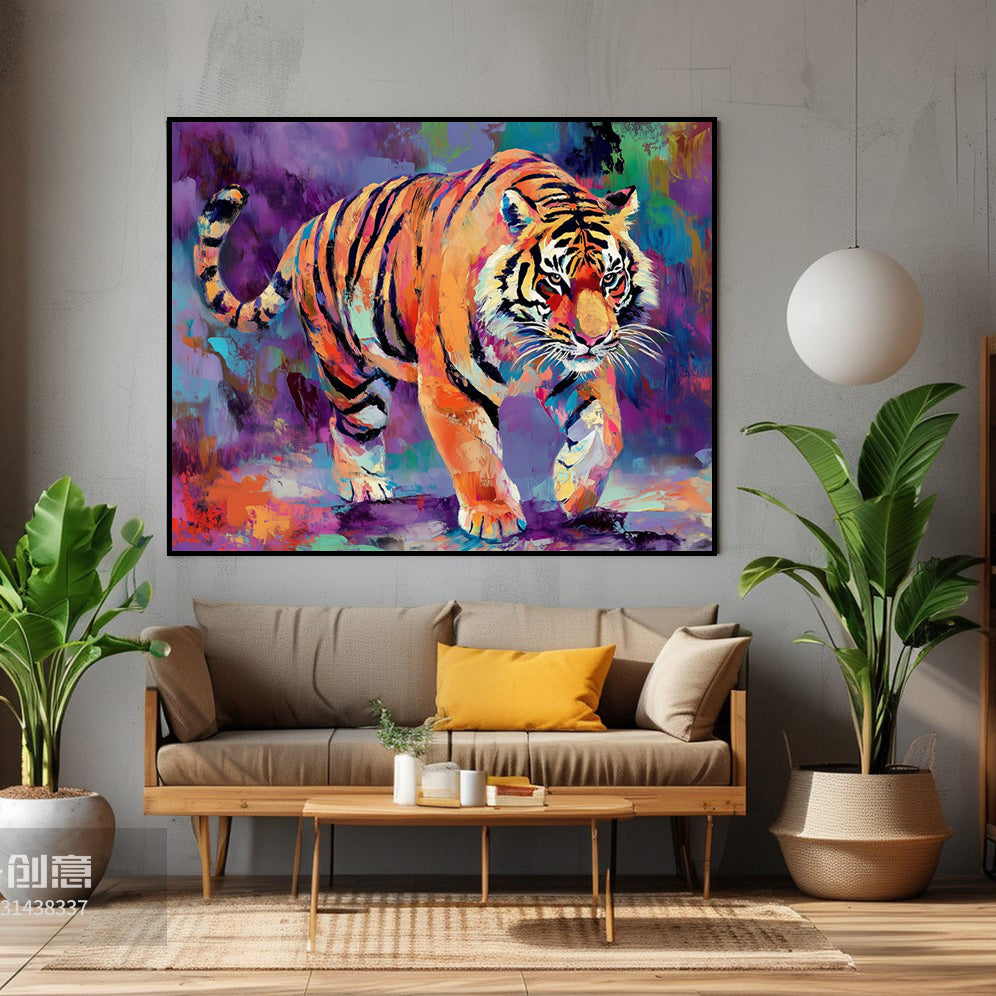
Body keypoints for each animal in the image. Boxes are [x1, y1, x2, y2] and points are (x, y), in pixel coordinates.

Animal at [194, 148, 663, 541]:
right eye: (555, 281)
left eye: (610, 278)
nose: (594, 338)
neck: (524, 337)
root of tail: (309, 225)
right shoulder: (453, 383)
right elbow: (474, 453)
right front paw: (493, 515)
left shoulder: (577, 372)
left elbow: (608, 431)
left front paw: (573, 491)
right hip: (350, 374)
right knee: (345, 424)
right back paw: (363, 485)